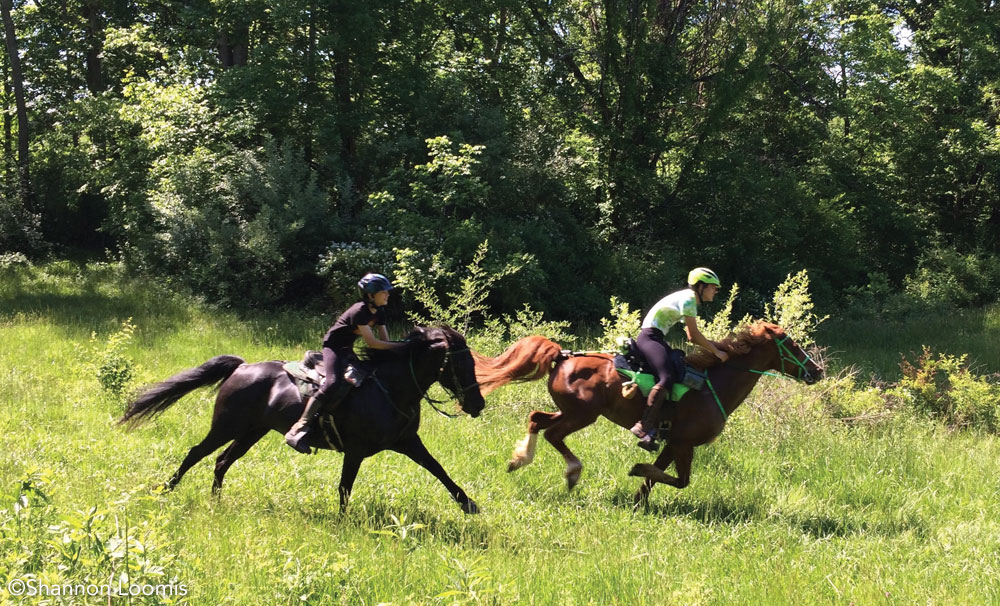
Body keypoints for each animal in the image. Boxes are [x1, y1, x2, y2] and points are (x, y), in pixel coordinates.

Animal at [119, 326, 486, 516]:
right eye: (460, 363)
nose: (477, 404)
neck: (391, 389)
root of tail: (241, 367)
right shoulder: (355, 451)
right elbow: (345, 488)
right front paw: (342, 524)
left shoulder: (408, 442)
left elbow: (437, 468)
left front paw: (468, 504)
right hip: (227, 426)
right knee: (197, 452)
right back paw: (164, 490)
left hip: (252, 431)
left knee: (222, 461)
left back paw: (216, 503)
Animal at [474, 324, 820, 508]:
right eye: (791, 344)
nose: (816, 371)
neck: (714, 386)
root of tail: (562, 357)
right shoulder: (683, 444)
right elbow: (678, 480)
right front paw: (637, 469)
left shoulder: (673, 443)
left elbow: (660, 476)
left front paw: (638, 500)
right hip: (583, 415)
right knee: (552, 434)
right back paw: (572, 472)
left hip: (569, 410)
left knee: (536, 419)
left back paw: (519, 459)